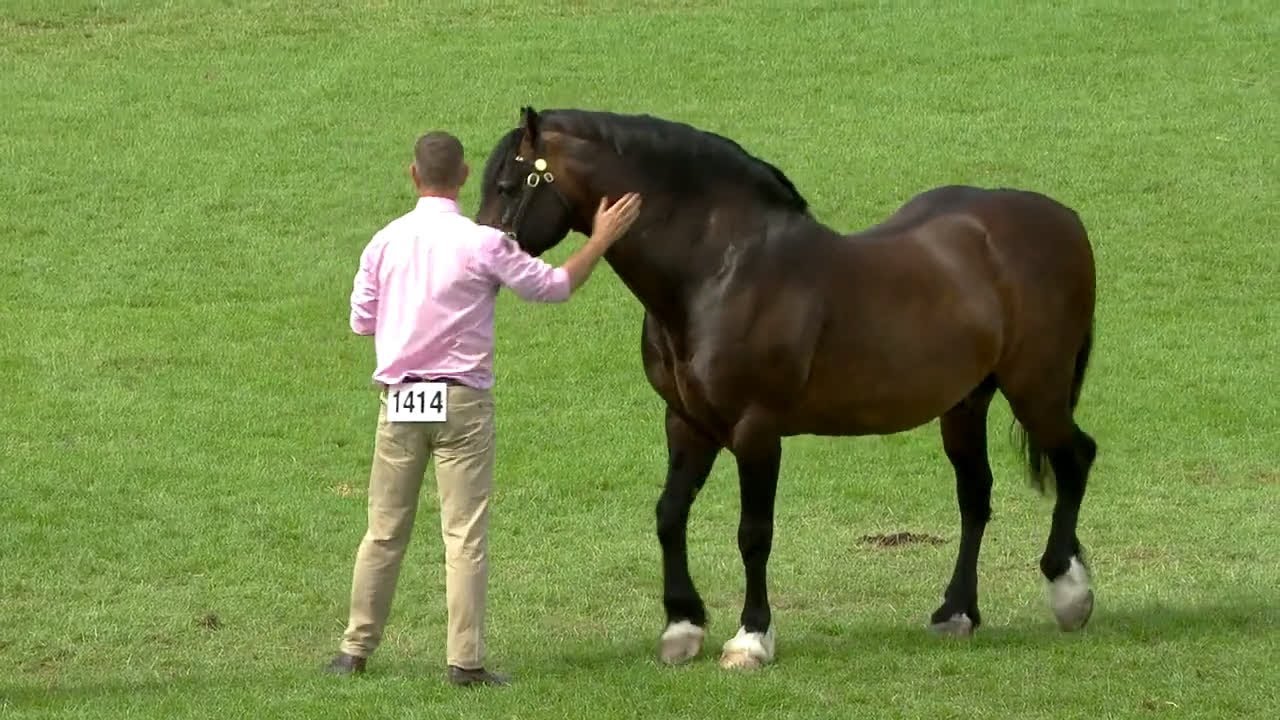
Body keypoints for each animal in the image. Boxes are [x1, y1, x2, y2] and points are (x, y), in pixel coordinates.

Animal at [475, 106, 1099, 670]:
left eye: (507, 185)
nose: (483, 257)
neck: (719, 271)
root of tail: (1063, 219)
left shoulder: (756, 430)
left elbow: (753, 533)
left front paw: (750, 639)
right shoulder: (687, 422)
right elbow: (669, 514)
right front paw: (681, 628)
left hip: (1035, 387)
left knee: (1075, 459)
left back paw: (1069, 592)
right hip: (965, 402)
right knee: (975, 494)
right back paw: (957, 613)